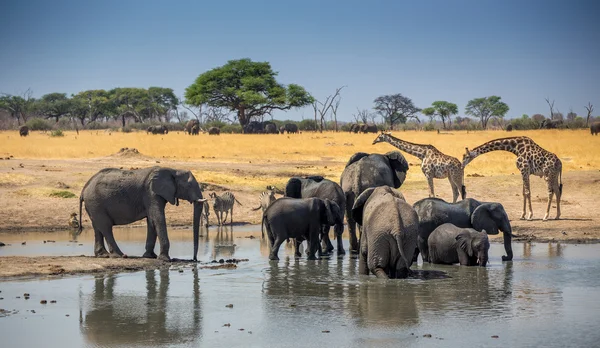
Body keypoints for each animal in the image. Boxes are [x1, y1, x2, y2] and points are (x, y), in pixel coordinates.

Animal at [78, 167, 207, 260]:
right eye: (189, 185)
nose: (194, 259)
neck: (173, 170)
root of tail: (84, 188)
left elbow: (152, 220)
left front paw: (150, 256)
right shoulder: (151, 193)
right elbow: (158, 218)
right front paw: (165, 259)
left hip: (93, 204)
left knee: (97, 227)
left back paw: (103, 255)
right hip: (95, 202)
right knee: (106, 227)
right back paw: (120, 256)